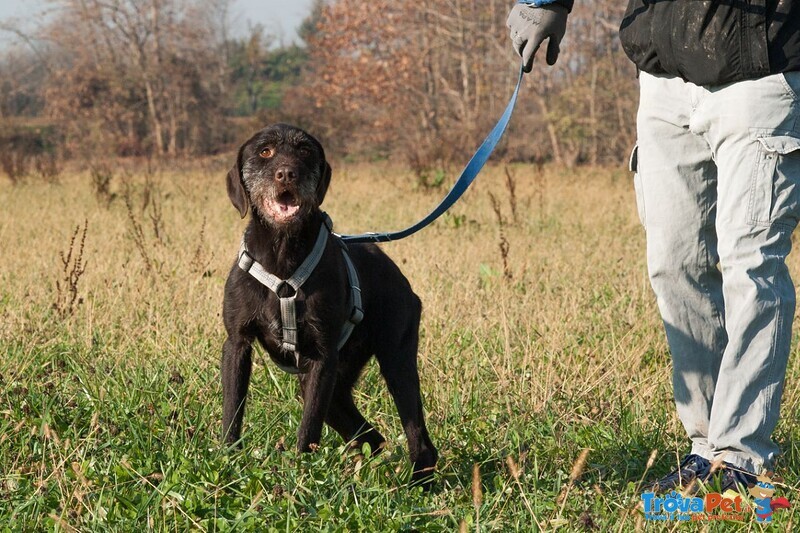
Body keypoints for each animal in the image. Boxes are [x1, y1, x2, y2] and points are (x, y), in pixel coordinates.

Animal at [222, 122, 438, 484]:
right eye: (264, 151)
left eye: (305, 150)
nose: (287, 173)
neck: (283, 255)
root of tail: (401, 279)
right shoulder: (237, 344)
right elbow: (231, 409)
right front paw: (226, 461)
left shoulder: (321, 358)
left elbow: (308, 428)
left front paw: (299, 475)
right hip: (337, 385)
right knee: (372, 437)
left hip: (395, 363)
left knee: (417, 435)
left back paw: (422, 482)